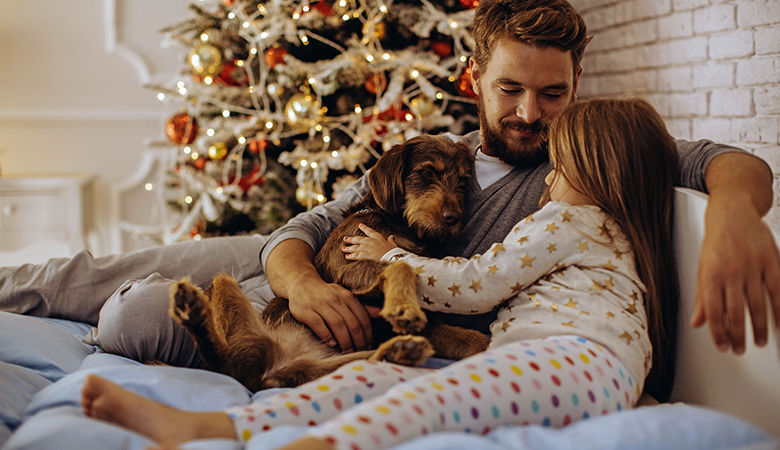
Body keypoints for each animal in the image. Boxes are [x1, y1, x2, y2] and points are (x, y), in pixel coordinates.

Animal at [169, 135, 488, 392]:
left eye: (462, 180)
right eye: (426, 172)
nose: (453, 217)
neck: (398, 223)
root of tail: (267, 377)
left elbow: (468, 339)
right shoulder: (348, 266)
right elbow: (402, 265)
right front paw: (403, 307)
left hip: (334, 366)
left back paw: (398, 351)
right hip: (222, 284)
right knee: (223, 363)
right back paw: (193, 313)